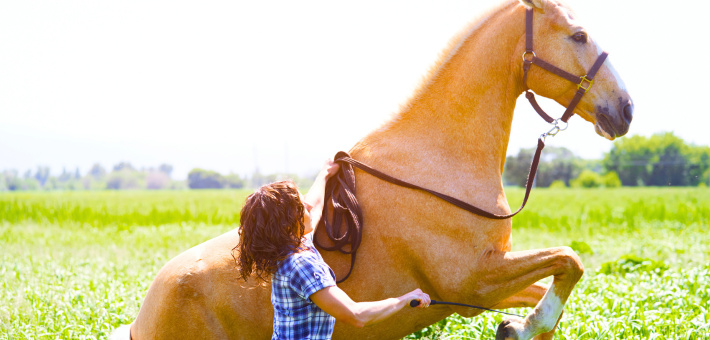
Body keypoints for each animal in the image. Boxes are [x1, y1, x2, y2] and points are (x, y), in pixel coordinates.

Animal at [117, 0, 636, 338]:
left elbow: (551, 287)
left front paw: (519, 326)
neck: (438, 162)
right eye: (579, 35)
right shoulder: (472, 278)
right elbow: (570, 260)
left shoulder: (480, 291)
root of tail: (140, 321)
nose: (626, 109)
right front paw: (525, 327)